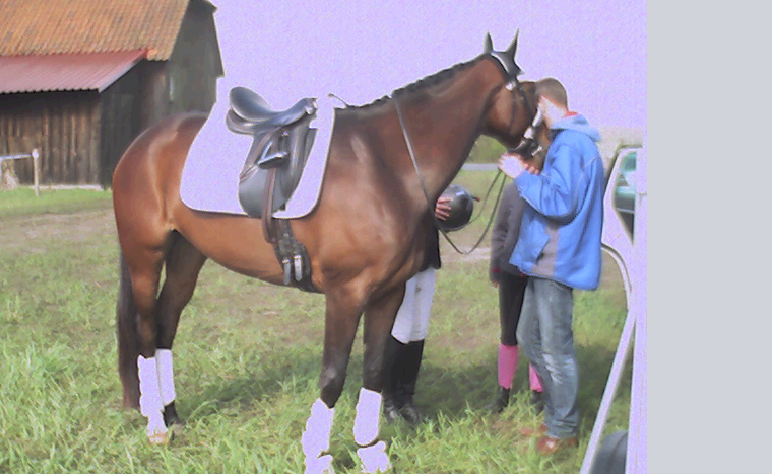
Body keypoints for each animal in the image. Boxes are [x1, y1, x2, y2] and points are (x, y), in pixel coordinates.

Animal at [112, 32, 538, 473]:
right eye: (529, 90)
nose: (537, 146)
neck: (388, 164)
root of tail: (145, 142)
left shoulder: (388, 293)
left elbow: (374, 369)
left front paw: (371, 451)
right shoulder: (346, 293)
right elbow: (333, 376)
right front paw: (317, 454)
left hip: (187, 255)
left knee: (166, 322)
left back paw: (174, 416)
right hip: (145, 254)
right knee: (146, 330)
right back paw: (156, 426)